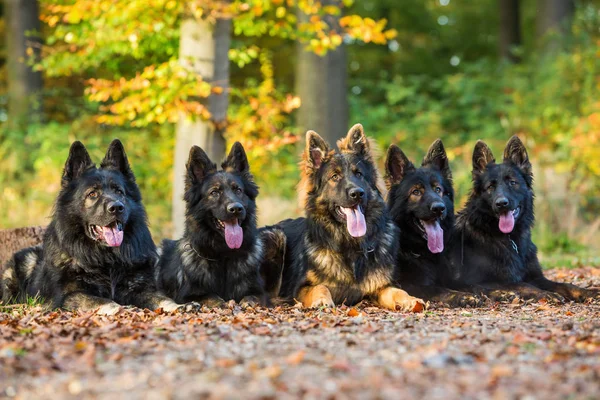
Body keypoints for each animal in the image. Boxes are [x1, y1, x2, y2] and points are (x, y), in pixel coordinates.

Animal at [1, 139, 179, 314]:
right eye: (92, 194)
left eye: (119, 192)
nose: (117, 207)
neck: (107, 258)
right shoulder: (69, 295)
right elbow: (102, 300)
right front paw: (122, 309)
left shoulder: (140, 288)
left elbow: (162, 299)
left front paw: (178, 307)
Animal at [155, 143, 286, 306]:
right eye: (214, 192)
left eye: (238, 190)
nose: (236, 209)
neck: (224, 256)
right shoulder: (187, 296)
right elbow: (212, 297)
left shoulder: (259, 292)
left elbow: (251, 298)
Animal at [274, 125, 424, 312]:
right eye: (334, 176)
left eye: (358, 174)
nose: (357, 193)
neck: (350, 245)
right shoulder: (301, 287)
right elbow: (320, 286)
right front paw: (322, 300)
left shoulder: (380, 286)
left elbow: (397, 291)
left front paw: (411, 299)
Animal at [384, 139, 482, 308]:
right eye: (416, 192)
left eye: (438, 189)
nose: (439, 208)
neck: (419, 250)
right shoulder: (411, 285)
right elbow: (439, 289)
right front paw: (463, 296)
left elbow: (471, 284)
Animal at [450, 136, 600, 302]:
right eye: (490, 187)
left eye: (512, 182)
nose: (501, 203)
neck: (510, 240)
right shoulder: (485, 280)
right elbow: (522, 285)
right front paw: (546, 294)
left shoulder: (537, 277)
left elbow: (565, 285)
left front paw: (589, 292)